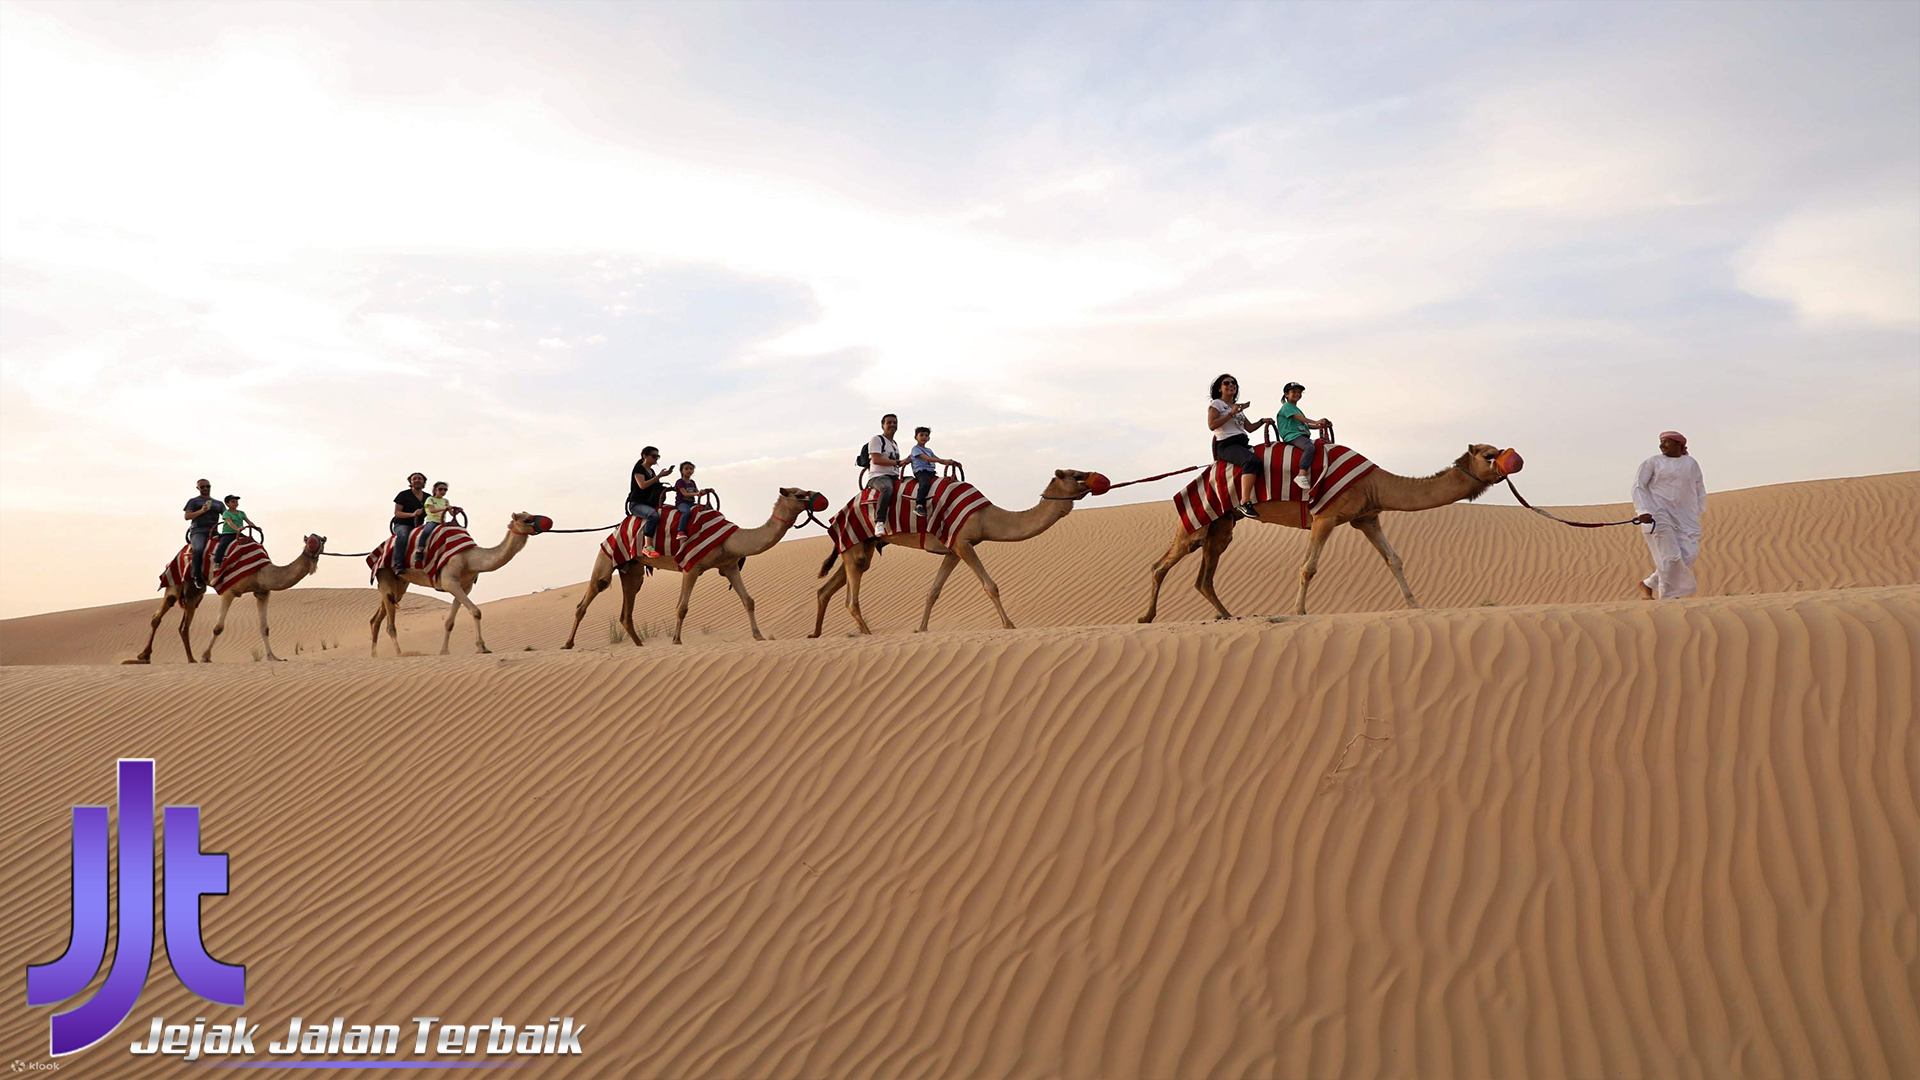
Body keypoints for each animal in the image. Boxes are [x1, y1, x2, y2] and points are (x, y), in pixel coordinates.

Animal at [126, 530, 326, 661]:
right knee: (162, 611)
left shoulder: (262, 592)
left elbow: (265, 627)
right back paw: (144, 655)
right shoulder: (229, 591)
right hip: (177, 578)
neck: (261, 571)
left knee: (184, 623)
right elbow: (218, 628)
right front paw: (206, 656)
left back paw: (191, 659)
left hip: (194, 591)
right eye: (311, 542)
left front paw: (272, 657)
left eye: (322, 542)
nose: (315, 552)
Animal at [370, 511, 549, 657]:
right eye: (527, 519)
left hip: (400, 582)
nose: (549, 522)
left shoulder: (465, 586)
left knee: (380, 614)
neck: (470, 559)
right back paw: (400, 653)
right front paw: (482, 648)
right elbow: (476, 611)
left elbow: (450, 622)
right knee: (389, 621)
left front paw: (444, 651)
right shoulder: (450, 582)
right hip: (385, 572)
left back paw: (374, 654)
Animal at [560, 488, 821, 645]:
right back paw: (568, 643)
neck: (731, 539)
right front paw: (676, 640)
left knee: (628, 607)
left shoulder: (729, 566)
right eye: (799, 494)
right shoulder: (691, 566)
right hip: (608, 555)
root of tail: (618, 526)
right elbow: (682, 607)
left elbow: (749, 600)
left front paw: (759, 636)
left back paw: (641, 645)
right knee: (590, 594)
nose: (818, 497)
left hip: (632, 568)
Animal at [806, 466, 1098, 634]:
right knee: (850, 597)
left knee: (828, 588)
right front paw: (1009, 625)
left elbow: (933, 591)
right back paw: (867, 633)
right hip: (855, 542)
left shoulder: (953, 551)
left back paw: (815, 634)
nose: (1098, 480)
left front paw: (921, 629)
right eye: (1076, 476)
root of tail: (839, 513)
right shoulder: (963, 543)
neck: (987, 517)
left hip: (860, 546)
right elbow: (990, 586)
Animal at [1136, 440, 1512, 622]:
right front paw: (1299, 612)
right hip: (1200, 518)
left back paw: (1228, 616)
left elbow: (1394, 558)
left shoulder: (1367, 517)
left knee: (1204, 576)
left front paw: (1415, 605)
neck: (1376, 482)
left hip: (1223, 525)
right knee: (1161, 564)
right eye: (1489, 455)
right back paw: (1146, 617)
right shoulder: (1325, 517)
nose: (1512, 462)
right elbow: (1308, 567)